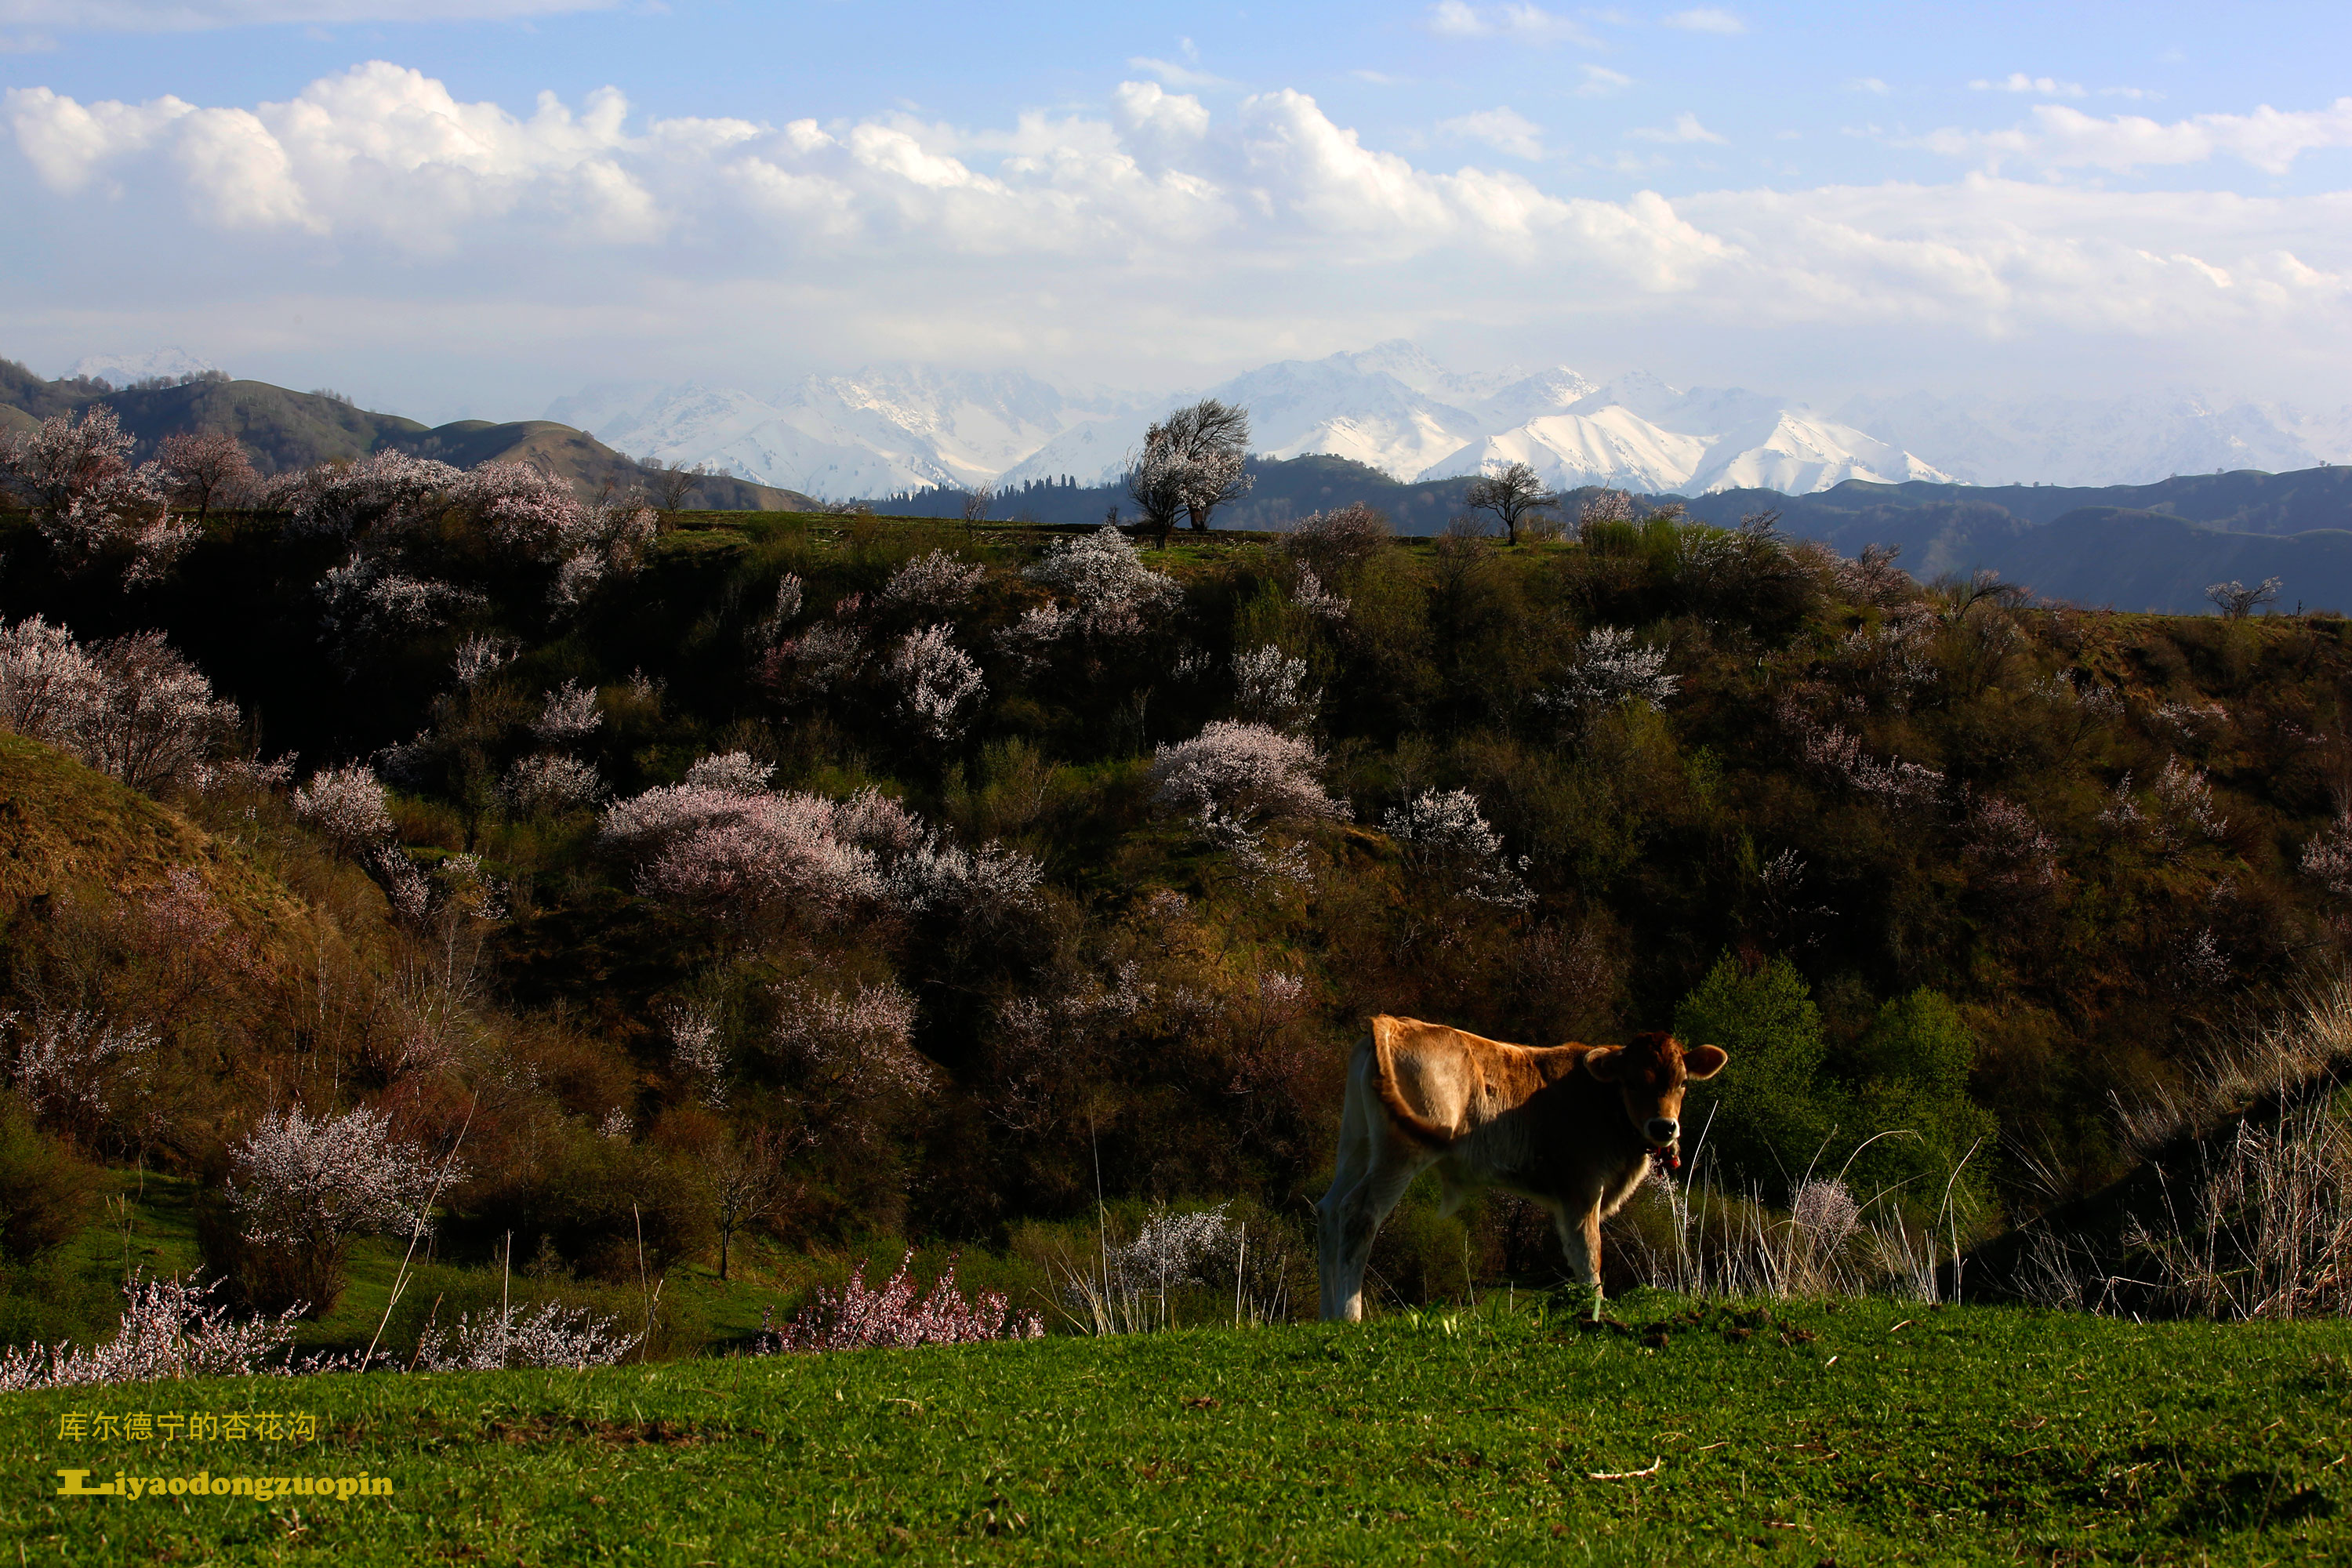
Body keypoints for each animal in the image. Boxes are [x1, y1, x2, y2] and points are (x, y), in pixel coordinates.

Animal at [1327, 1011, 1731, 1316]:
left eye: (1682, 1082)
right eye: (1631, 1082)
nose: (1664, 1126)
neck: (1606, 1105)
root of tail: (1393, 1022)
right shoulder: (1582, 1189)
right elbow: (1589, 1256)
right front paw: (1595, 1311)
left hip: (1356, 1143)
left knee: (1331, 1207)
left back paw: (1327, 1315)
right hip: (1400, 1154)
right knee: (1359, 1214)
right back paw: (1347, 1317)